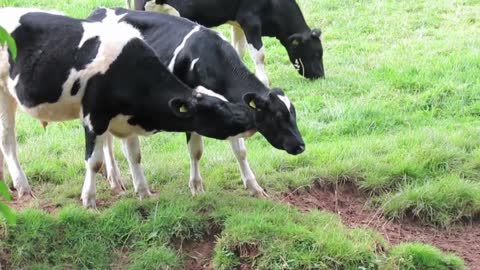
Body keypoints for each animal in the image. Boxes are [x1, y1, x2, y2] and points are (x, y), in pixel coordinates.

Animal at [0, 7, 256, 208]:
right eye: (218, 110)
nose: (249, 117)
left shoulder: (127, 116)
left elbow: (135, 155)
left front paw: (143, 192)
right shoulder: (94, 117)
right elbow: (94, 161)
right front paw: (89, 200)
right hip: (4, 94)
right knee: (8, 140)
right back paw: (22, 186)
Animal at [87, 7, 304, 197]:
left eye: (293, 114)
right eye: (277, 116)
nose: (301, 146)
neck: (208, 59)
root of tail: (98, 11)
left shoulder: (230, 113)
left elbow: (240, 151)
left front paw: (253, 186)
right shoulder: (192, 112)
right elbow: (196, 151)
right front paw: (196, 187)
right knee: (107, 141)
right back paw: (115, 179)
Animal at [127, 0, 324, 86]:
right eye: (315, 53)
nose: (320, 75)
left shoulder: (238, 23)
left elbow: (239, 50)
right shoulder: (250, 21)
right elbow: (259, 54)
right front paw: (263, 80)